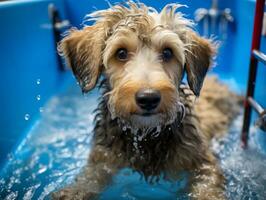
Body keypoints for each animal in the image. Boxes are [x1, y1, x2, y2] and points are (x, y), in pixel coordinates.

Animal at [51, 1, 239, 200]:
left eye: (167, 52)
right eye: (121, 53)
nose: (148, 98)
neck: (146, 136)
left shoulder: (202, 160)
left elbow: (208, 183)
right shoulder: (104, 156)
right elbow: (91, 176)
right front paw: (74, 191)